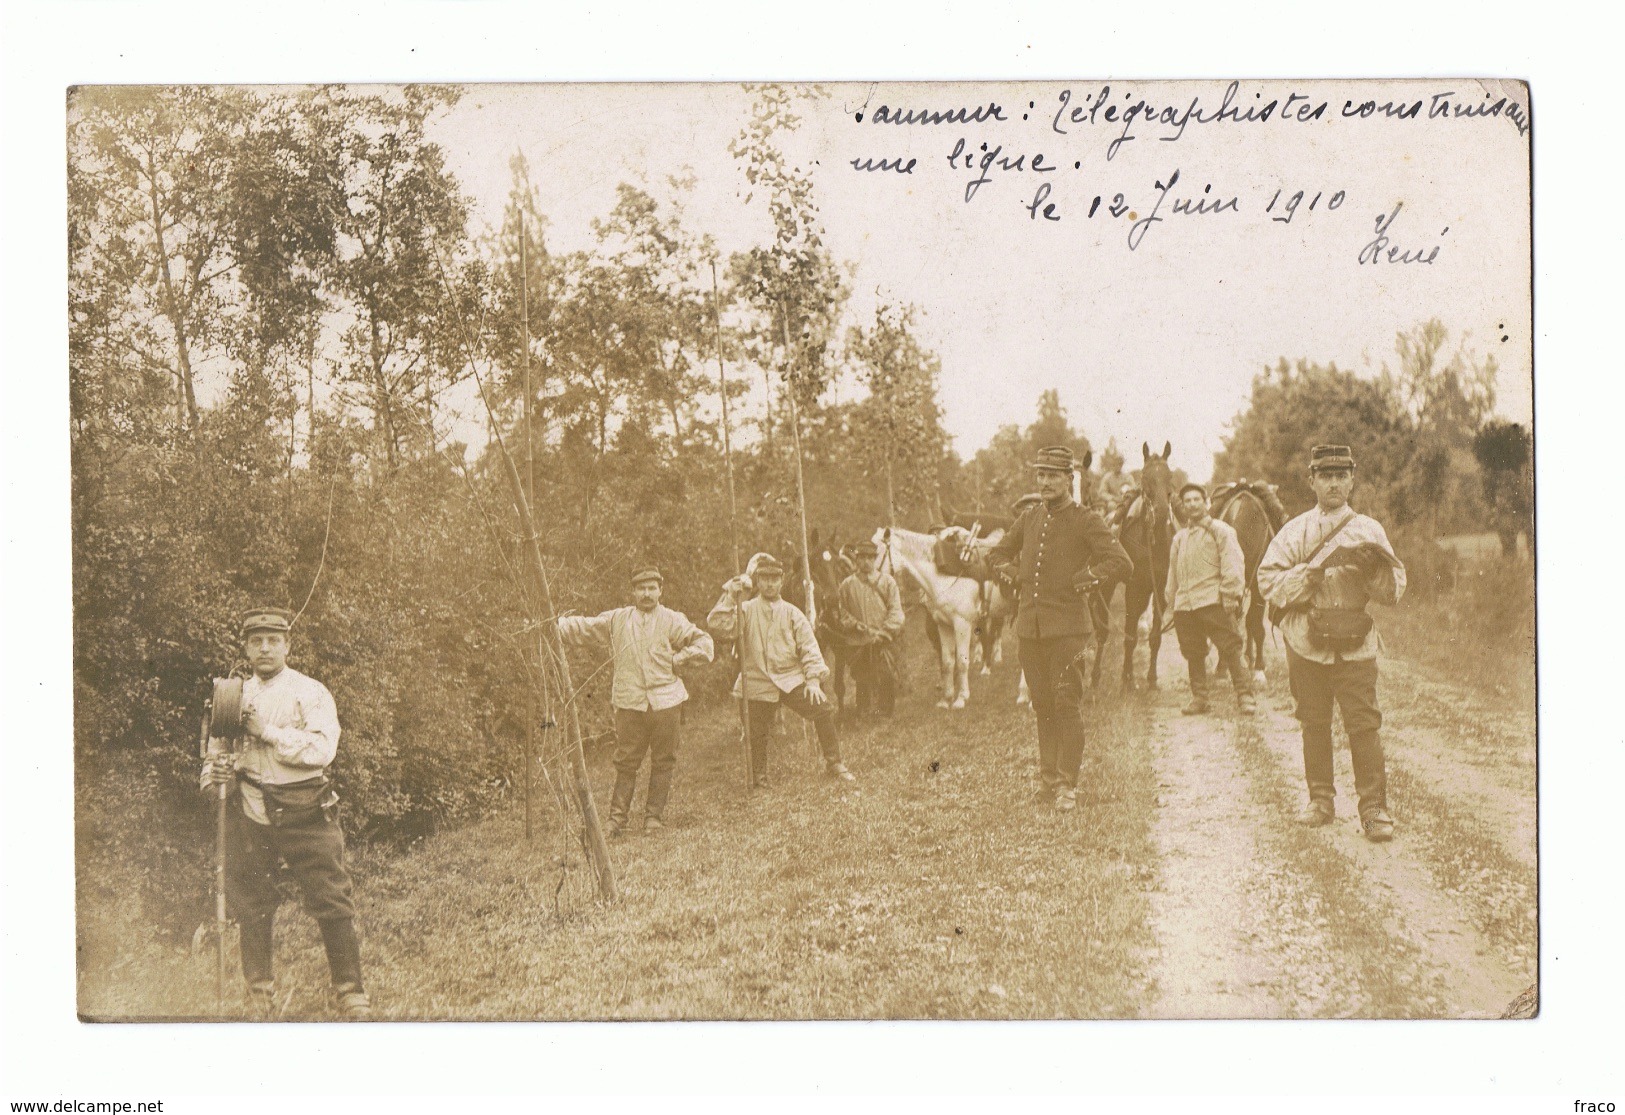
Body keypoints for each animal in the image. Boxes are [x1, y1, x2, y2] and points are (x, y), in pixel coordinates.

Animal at [877, 523, 975, 708]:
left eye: (876, 551)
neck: (946, 576)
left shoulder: (962, 625)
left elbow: (962, 661)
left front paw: (961, 698)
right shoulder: (944, 625)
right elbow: (947, 662)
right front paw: (946, 699)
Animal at [1111, 442, 1176, 689]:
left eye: (1169, 475)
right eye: (1146, 477)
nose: (1161, 511)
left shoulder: (1159, 590)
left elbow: (1155, 637)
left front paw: (1151, 679)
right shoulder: (1133, 588)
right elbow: (1130, 636)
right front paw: (1126, 679)